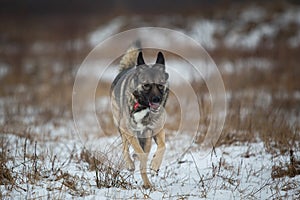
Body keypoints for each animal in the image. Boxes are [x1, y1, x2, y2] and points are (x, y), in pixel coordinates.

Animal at [110, 42, 169, 189]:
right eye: (146, 85)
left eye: (160, 84)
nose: (157, 100)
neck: (143, 106)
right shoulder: (128, 130)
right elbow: (140, 153)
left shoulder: (156, 129)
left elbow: (163, 146)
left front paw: (154, 166)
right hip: (121, 127)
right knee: (125, 147)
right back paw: (131, 164)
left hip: (146, 137)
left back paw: (147, 181)